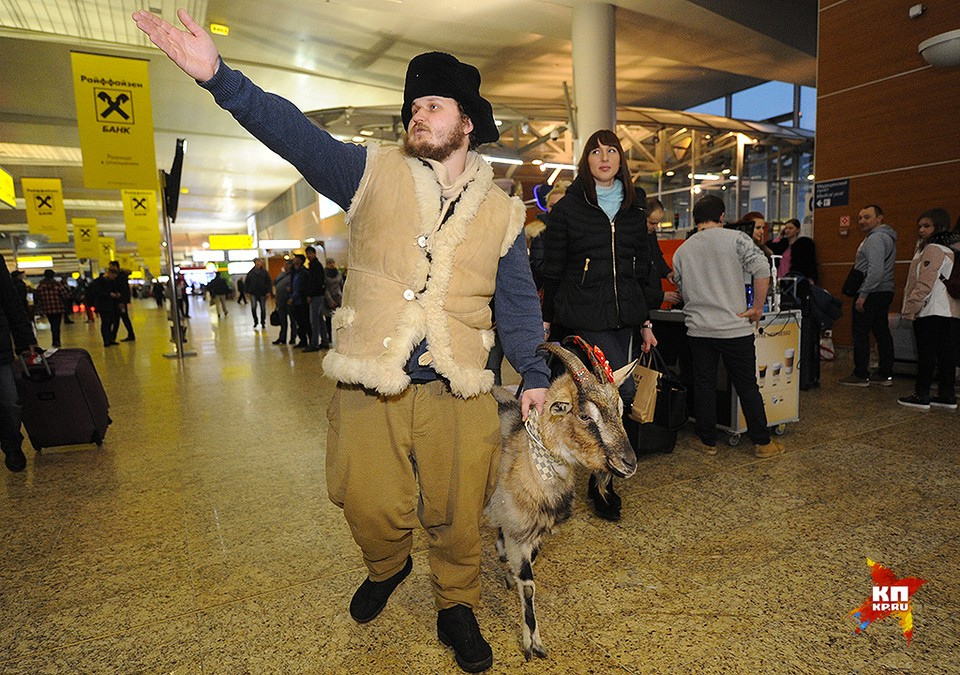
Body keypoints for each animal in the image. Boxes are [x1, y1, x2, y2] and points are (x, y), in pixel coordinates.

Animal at [488, 344, 636, 660]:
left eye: (620, 409)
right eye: (584, 416)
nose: (629, 463)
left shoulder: (531, 533)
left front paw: (508, 572)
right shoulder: (519, 532)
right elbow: (529, 587)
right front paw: (533, 644)